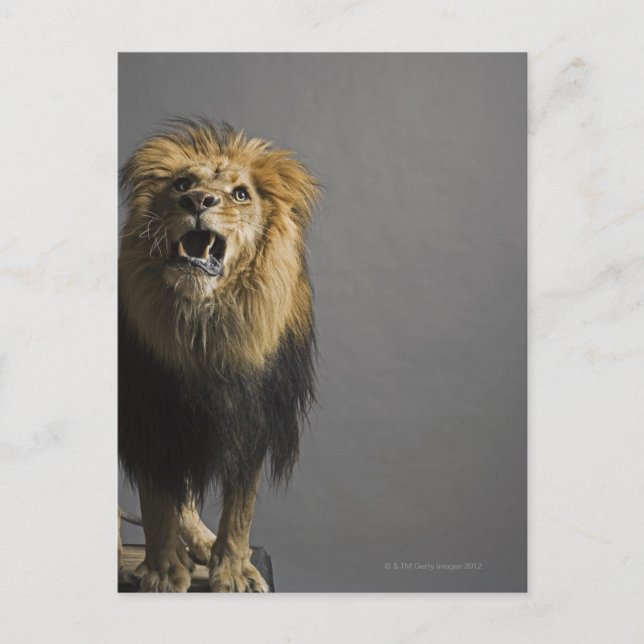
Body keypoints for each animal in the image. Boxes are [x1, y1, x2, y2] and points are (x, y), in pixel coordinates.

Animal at [118, 118, 319, 592]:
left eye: (241, 194)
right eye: (182, 184)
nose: (196, 201)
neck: (205, 328)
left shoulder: (252, 417)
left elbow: (240, 507)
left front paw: (232, 569)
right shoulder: (148, 414)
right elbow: (157, 503)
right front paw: (162, 571)